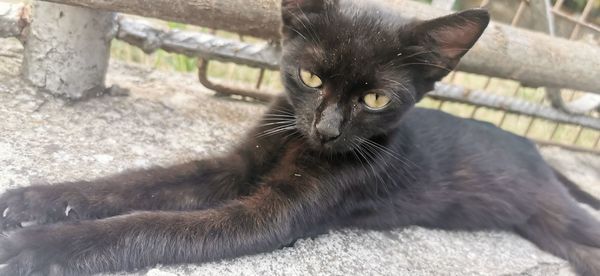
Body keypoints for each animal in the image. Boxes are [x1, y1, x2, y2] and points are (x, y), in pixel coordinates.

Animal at [1, 0, 600, 274]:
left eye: (374, 100)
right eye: (310, 77)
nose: (327, 127)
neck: (295, 139)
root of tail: (532, 147)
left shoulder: (272, 214)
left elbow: (150, 225)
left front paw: (36, 246)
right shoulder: (233, 168)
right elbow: (139, 184)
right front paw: (32, 202)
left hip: (558, 214)